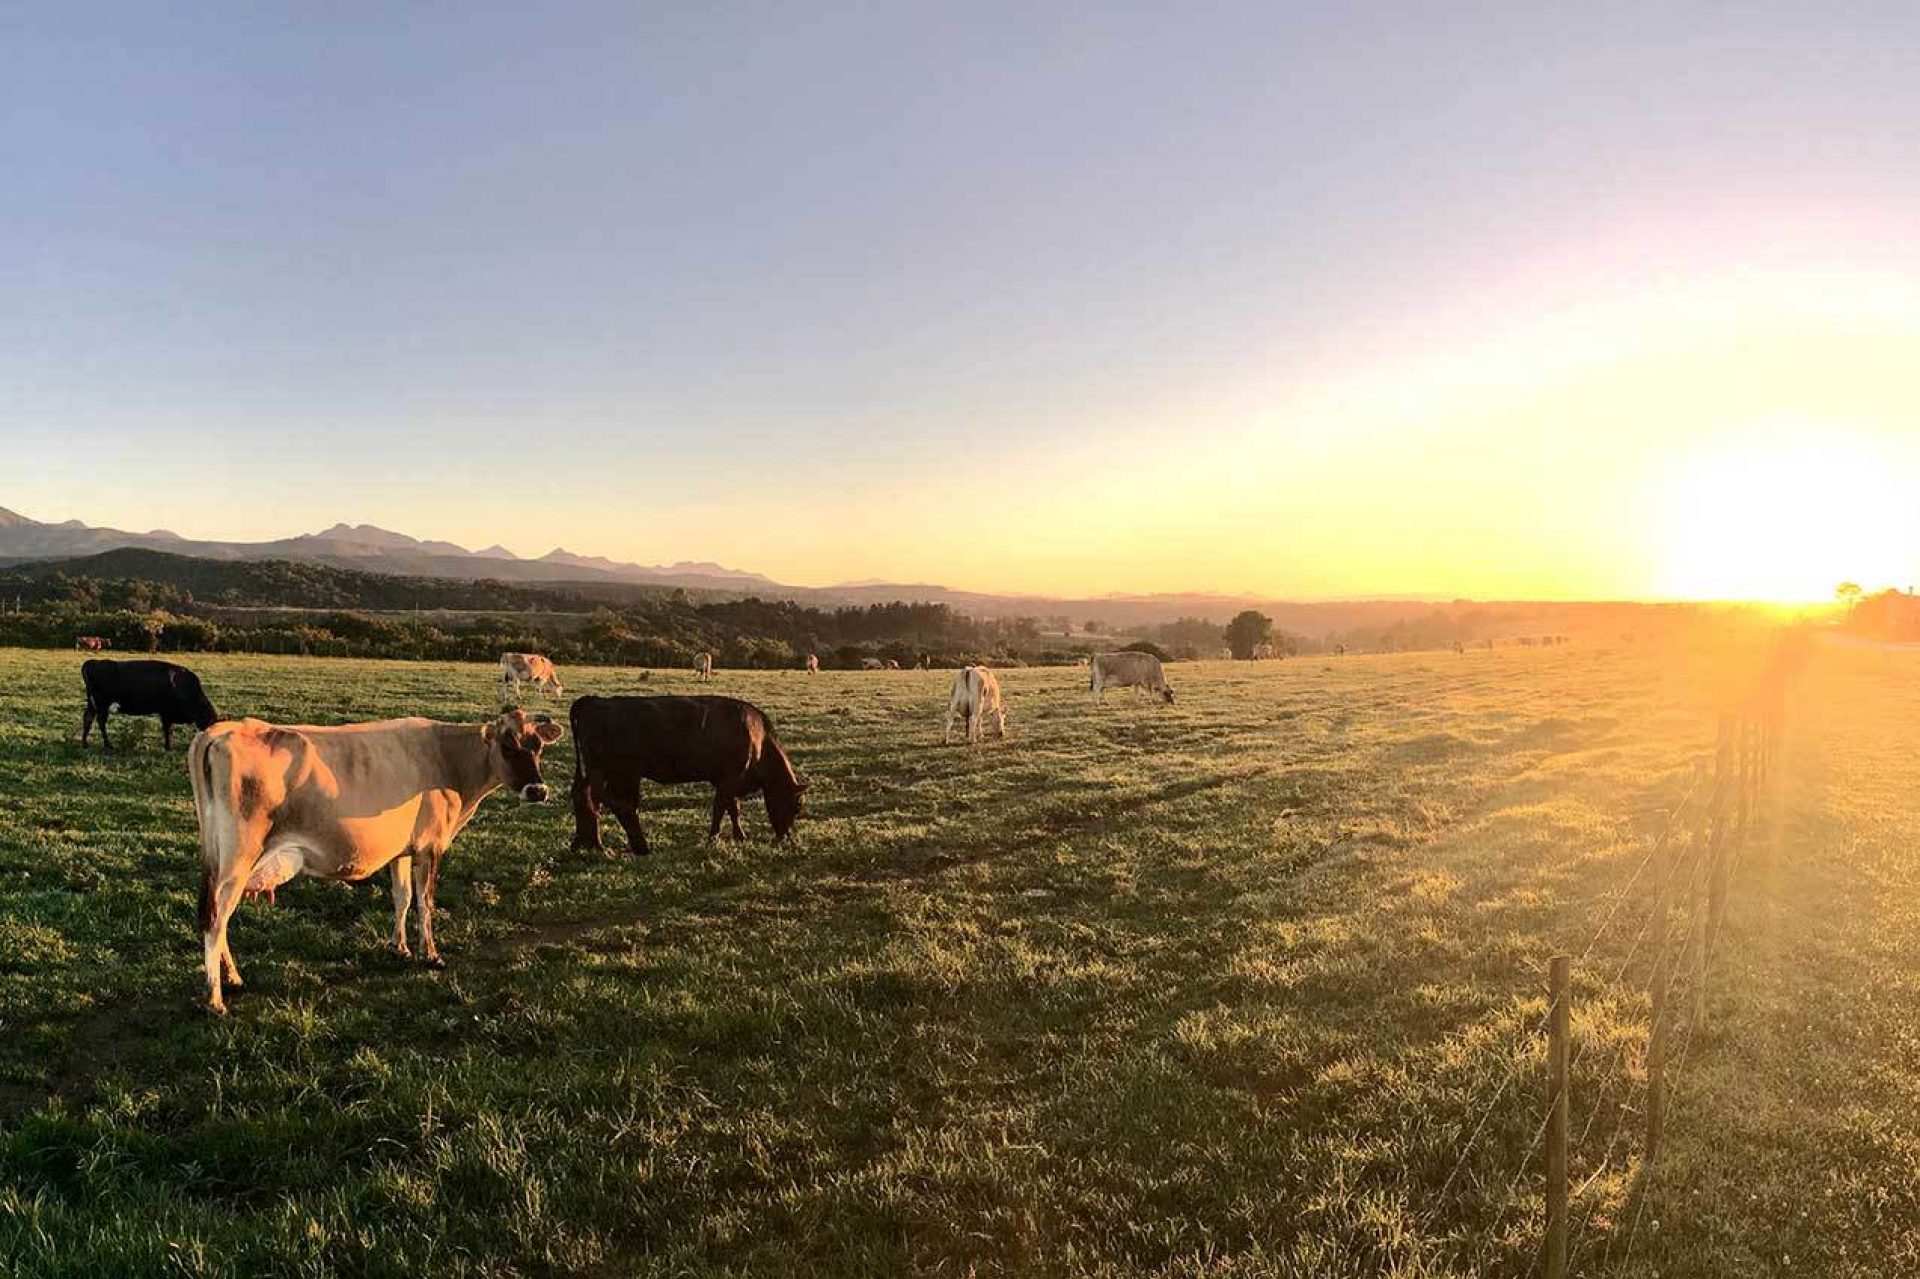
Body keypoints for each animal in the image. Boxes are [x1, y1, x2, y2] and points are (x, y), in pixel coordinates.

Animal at [81, 656, 219, 748]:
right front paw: (168, 747)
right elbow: (168, 729)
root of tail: (94, 662)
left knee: (88, 718)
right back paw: (108, 745)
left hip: (94, 704)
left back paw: (85, 743)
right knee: (100, 721)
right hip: (102, 704)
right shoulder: (166, 713)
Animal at [187, 706, 560, 1006]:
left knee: (218, 918)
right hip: (237, 861)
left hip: (222, 860)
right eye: (507, 746)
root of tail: (221, 731)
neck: (447, 758)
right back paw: (216, 998)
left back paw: (233, 979)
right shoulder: (431, 846)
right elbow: (426, 901)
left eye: (538, 746)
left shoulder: (403, 849)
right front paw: (431, 955)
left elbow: (403, 897)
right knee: (216, 919)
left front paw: (400, 947)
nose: (538, 790)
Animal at [568, 691, 810, 852]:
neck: (758, 738)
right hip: (620, 772)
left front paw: (740, 836)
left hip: (594, 771)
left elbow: (733, 808)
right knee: (617, 803)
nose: (786, 838)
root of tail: (594, 700)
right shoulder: (730, 778)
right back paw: (632, 847)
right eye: (797, 806)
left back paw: (585, 844)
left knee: (584, 797)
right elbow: (720, 809)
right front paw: (713, 839)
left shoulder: (724, 780)